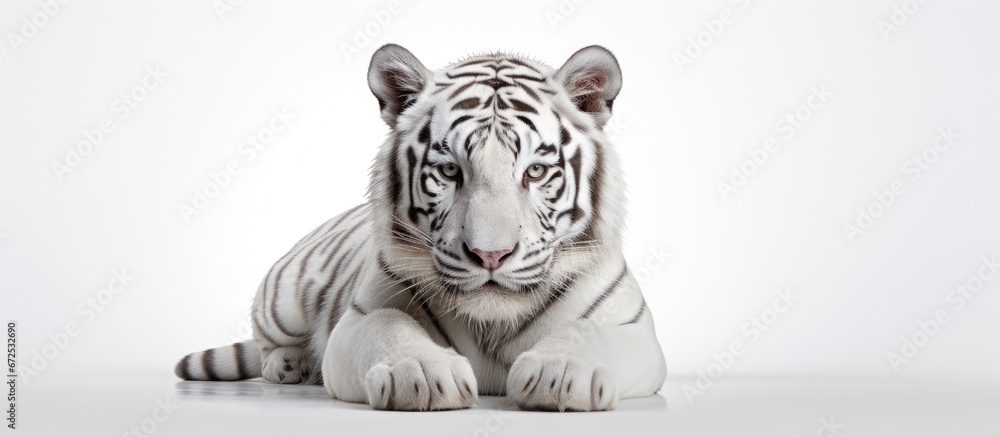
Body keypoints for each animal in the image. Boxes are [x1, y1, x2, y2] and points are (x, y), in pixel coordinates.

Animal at [175, 44, 667, 412]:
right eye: (450, 171)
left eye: (535, 172)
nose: (490, 255)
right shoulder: (360, 316)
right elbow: (388, 324)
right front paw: (421, 374)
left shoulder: (632, 327)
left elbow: (591, 333)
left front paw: (559, 372)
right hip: (282, 298)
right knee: (266, 344)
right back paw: (291, 366)